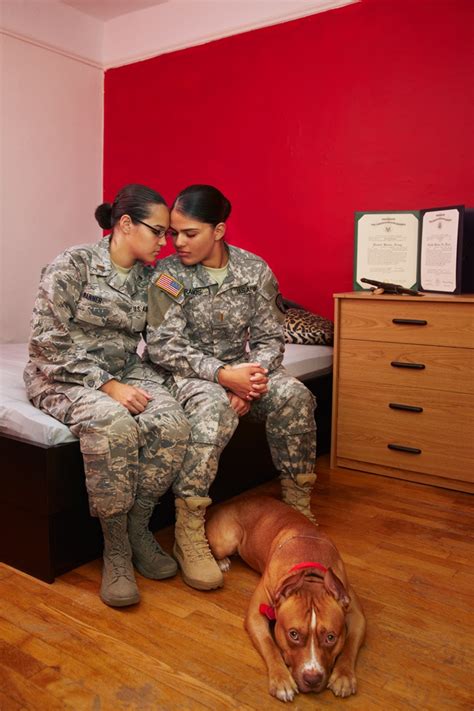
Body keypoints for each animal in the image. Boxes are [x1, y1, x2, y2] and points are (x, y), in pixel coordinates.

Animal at [206, 498, 364, 704]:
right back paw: (222, 562)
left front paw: (344, 676)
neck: (309, 575)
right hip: (227, 540)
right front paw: (281, 680)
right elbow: (270, 645)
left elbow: (351, 643)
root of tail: (230, 501)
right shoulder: (256, 615)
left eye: (331, 637)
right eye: (293, 634)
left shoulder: (357, 615)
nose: (312, 679)